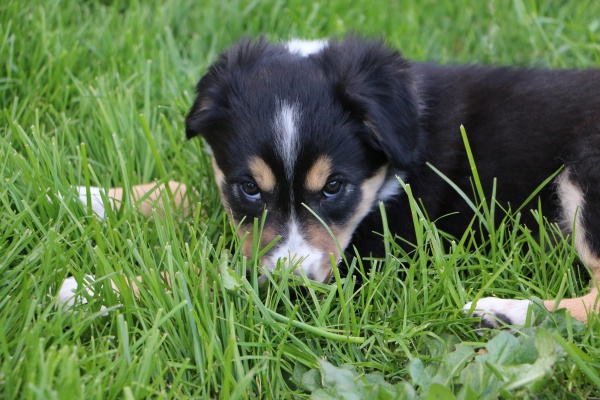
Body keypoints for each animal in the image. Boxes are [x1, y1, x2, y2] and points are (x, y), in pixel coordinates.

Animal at [61, 37, 600, 327]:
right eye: (249, 187)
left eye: (335, 186)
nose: (292, 285)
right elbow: (189, 192)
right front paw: (84, 196)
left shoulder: (370, 264)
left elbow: (216, 276)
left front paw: (92, 289)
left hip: (583, 174)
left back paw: (503, 310)